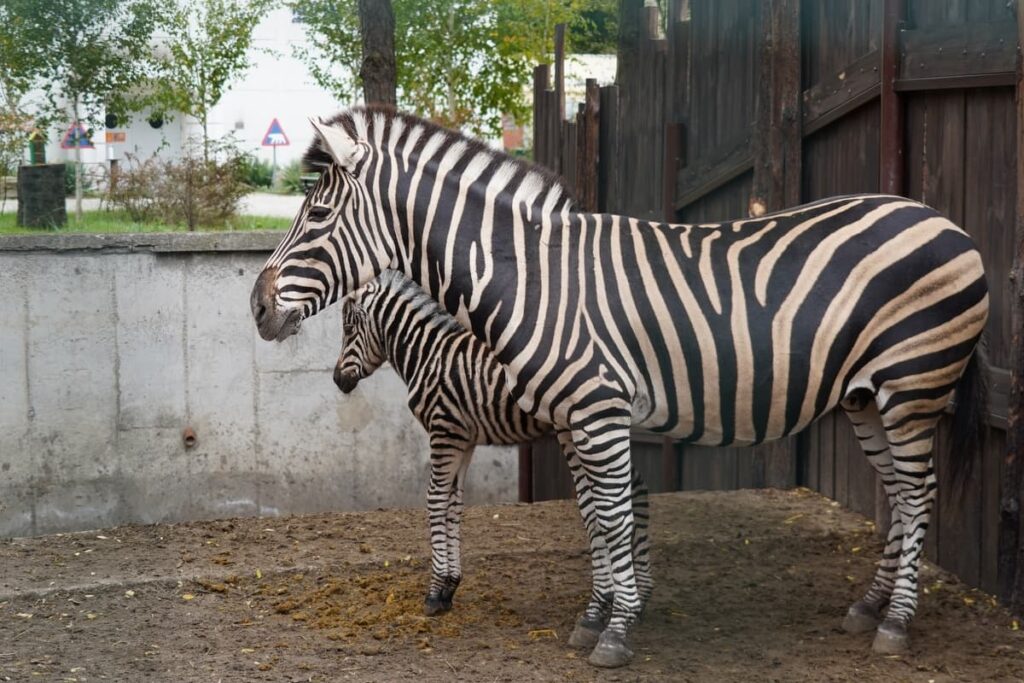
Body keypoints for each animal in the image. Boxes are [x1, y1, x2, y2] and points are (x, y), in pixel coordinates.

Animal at [335, 270, 655, 634]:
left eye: (348, 329)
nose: (336, 380)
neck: (427, 354)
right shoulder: (464, 439)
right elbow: (454, 505)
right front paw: (449, 587)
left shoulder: (444, 431)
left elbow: (435, 501)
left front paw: (434, 592)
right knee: (636, 491)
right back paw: (639, 596)